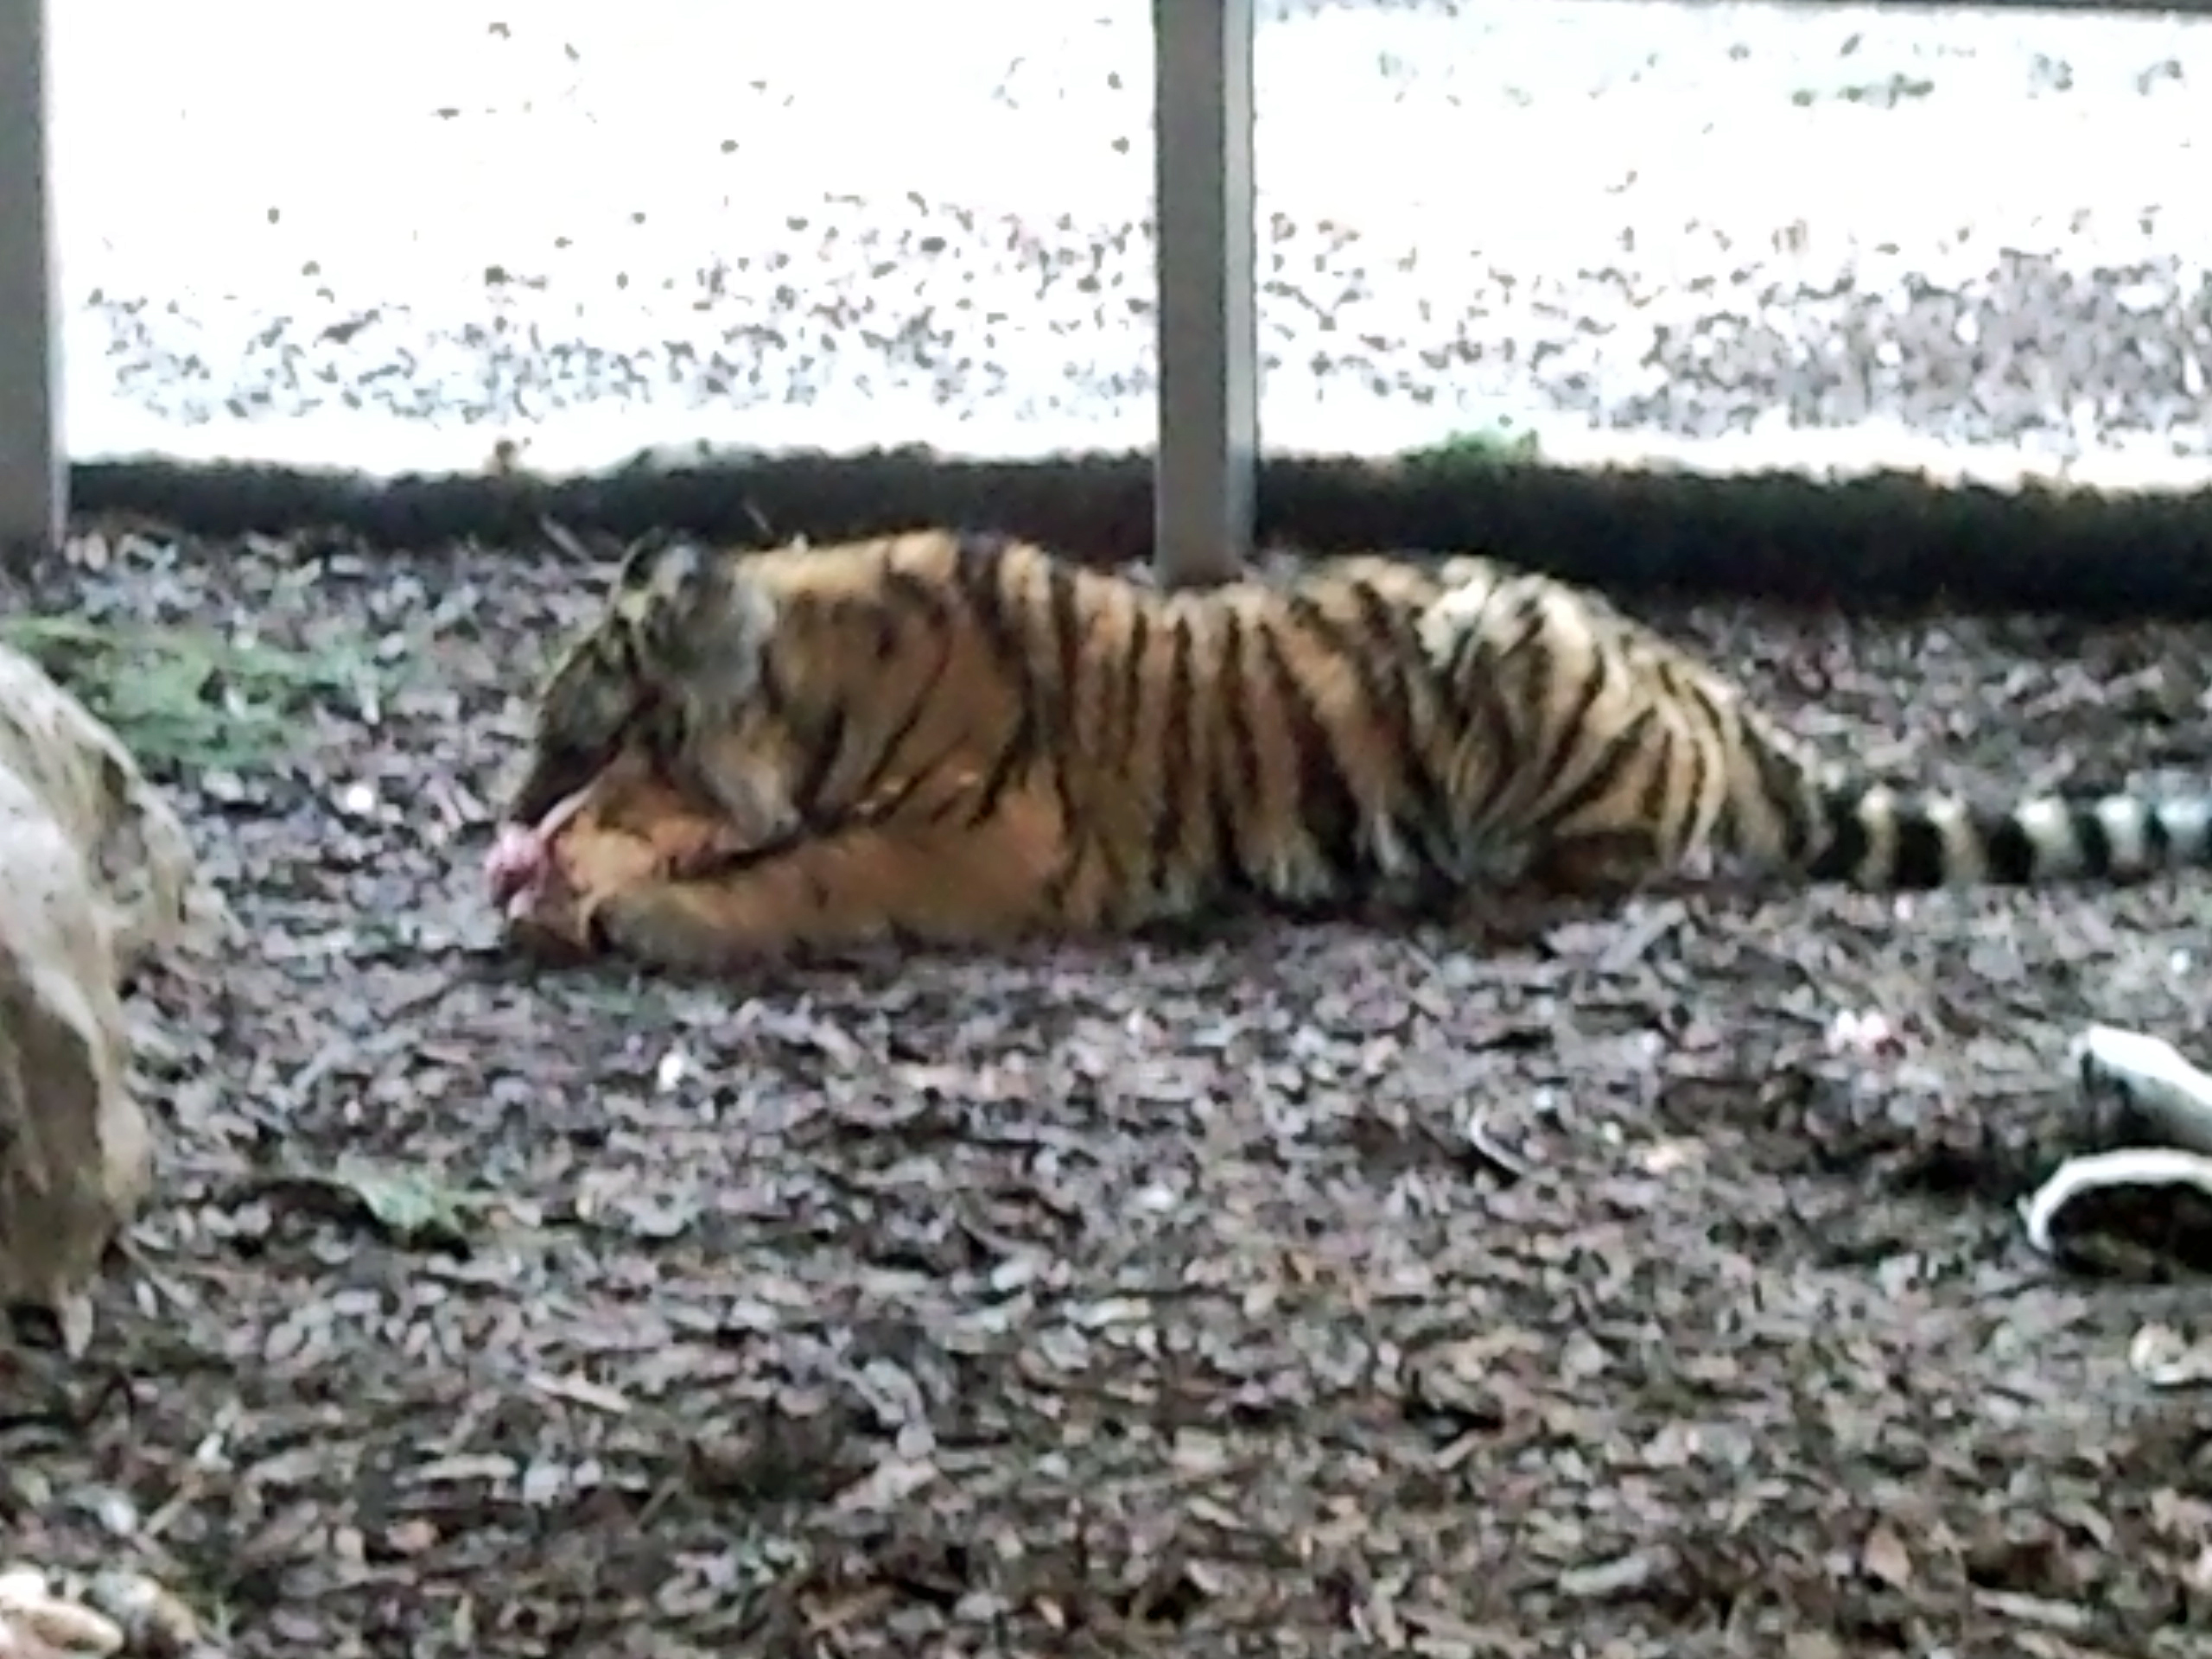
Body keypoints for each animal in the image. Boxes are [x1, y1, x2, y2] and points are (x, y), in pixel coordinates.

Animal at [484, 528, 2212, 973]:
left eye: (577, 742)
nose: (505, 836)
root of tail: (1721, 700)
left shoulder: (982, 840)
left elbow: (808, 876)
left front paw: (641, 909)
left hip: (1525, 670)